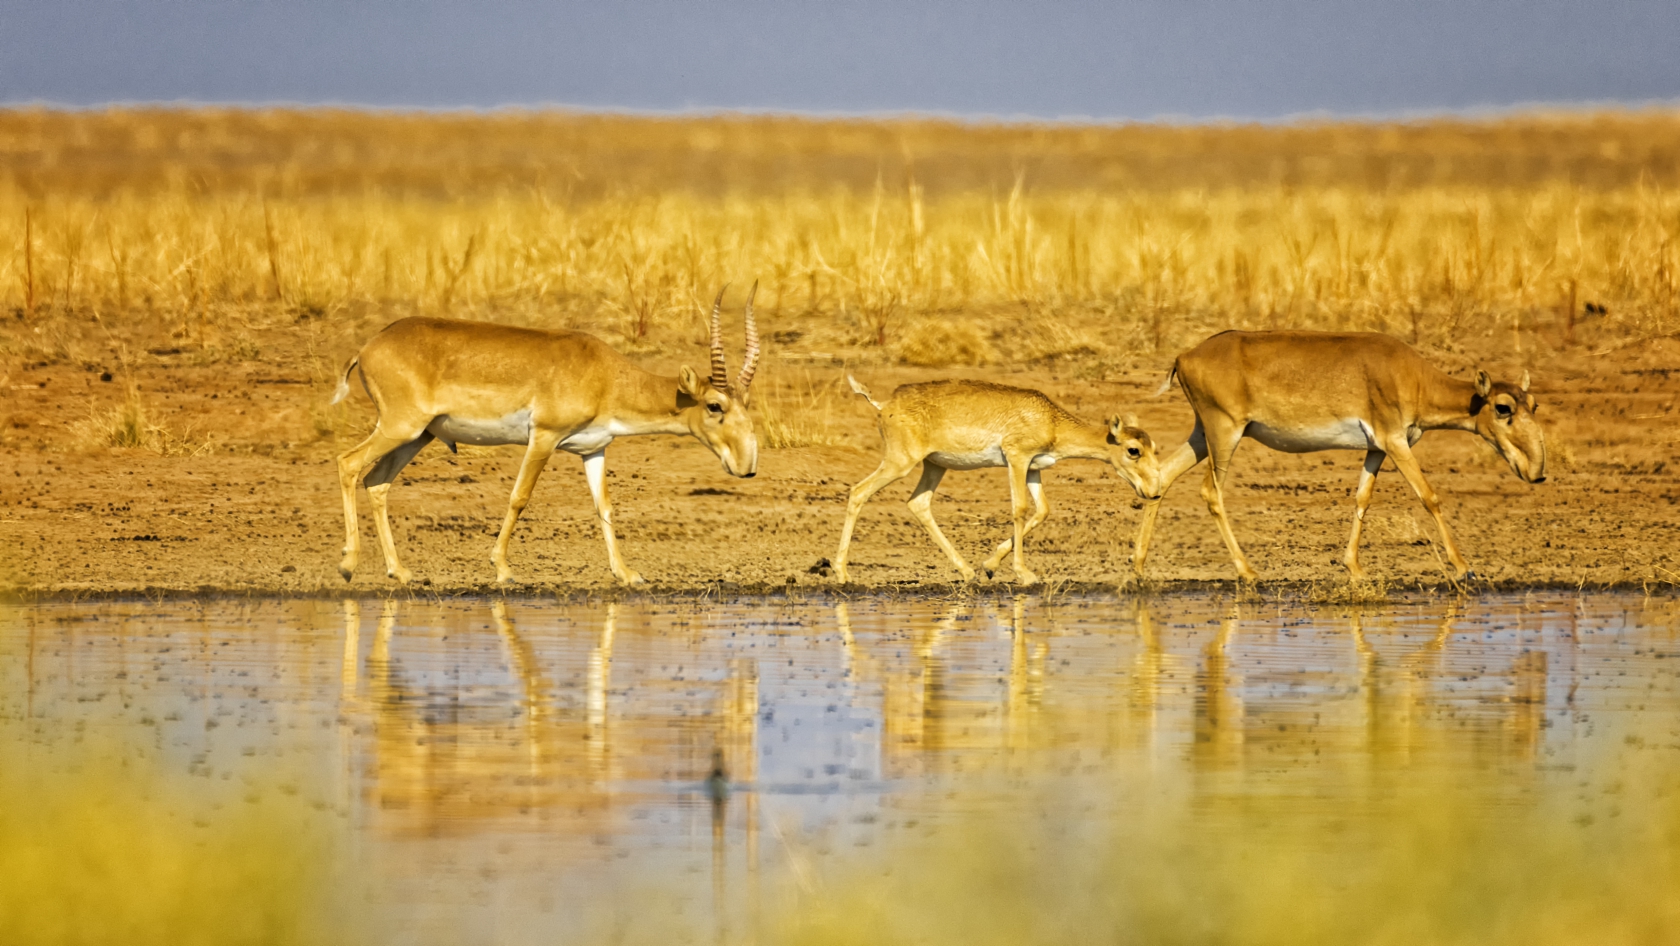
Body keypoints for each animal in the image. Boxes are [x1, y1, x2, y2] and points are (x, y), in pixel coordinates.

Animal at [329, 285, 762, 588]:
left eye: (746, 403)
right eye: (714, 405)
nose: (747, 466)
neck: (604, 374)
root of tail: (368, 347)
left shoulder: (594, 450)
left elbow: (604, 507)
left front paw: (627, 574)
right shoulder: (543, 438)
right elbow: (519, 497)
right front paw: (503, 569)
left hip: (418, 437)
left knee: (377, 481)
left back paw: (400, 572)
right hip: (400, 427)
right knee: (348, 463)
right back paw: (348, 564)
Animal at [833, 378, 1162, 584]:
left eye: (1153, 446)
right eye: (1133, 450)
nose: (1153, 491)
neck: (1052, 419)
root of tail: (884, 404)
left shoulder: (1034, 468)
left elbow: (1042, 510)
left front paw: (989, 566)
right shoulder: (1016, 459)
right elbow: (1019, 509)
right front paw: (1024, 574)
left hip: (934, 466)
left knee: (919, 503)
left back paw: (967, 571)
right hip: (900, 463)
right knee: (858, 491)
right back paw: (842, 573)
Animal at [1128, 332, 1545, 584]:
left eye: (1534, 404)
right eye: (1503, 407)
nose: (1536, 472)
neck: (1412, 376)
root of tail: (1184, 357)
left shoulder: (1376, 449)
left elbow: (1362, 498)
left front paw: (1355, 568)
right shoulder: (1397, 443)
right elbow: (1430, 497)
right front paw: (1464, 568)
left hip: (1202, 435)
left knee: (1160, 480)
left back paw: (1139, 567)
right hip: (1224, 434)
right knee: (1210, 493)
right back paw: (1248, 571)